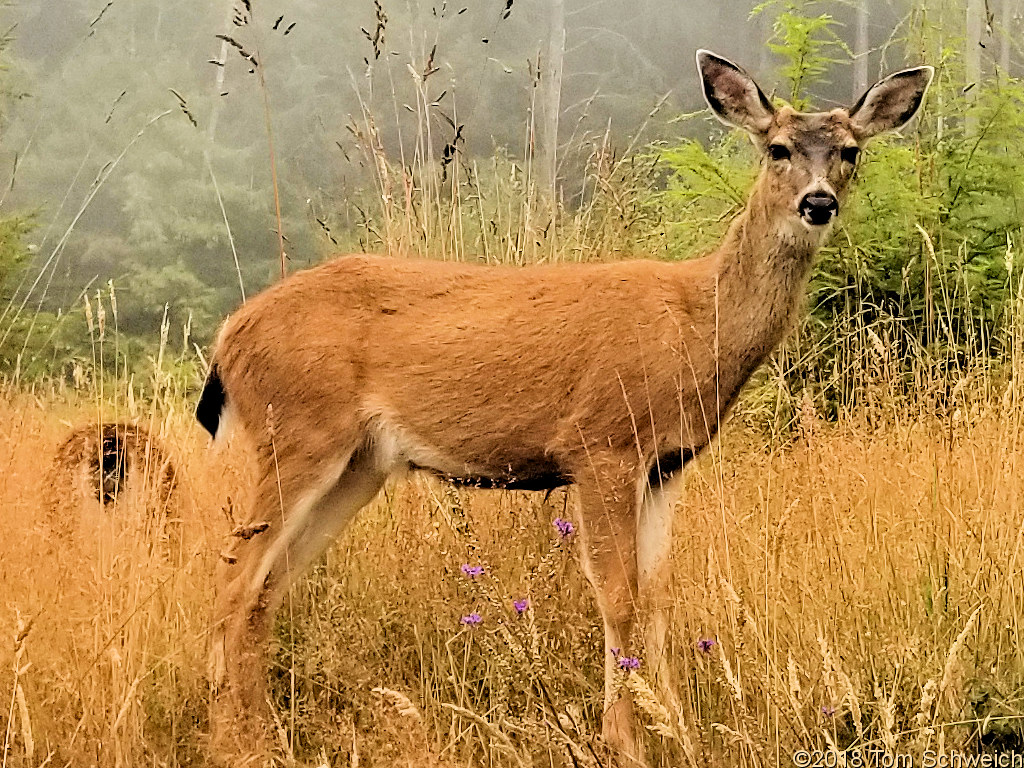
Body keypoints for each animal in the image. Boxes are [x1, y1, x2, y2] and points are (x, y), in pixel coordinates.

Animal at [193, 51, 937, 765]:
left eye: (850, 150)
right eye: (778, 147)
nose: (818, 202)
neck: (696, 323)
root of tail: (229, 338)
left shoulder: (668, 463)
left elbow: (659, 593)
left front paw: (682, 734)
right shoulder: (601, 445)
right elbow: (617, 595)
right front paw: (625, 741)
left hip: (359, 465)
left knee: (267, 586)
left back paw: (264, 733)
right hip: (297, 429)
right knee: (234, 579)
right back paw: (236, 741)